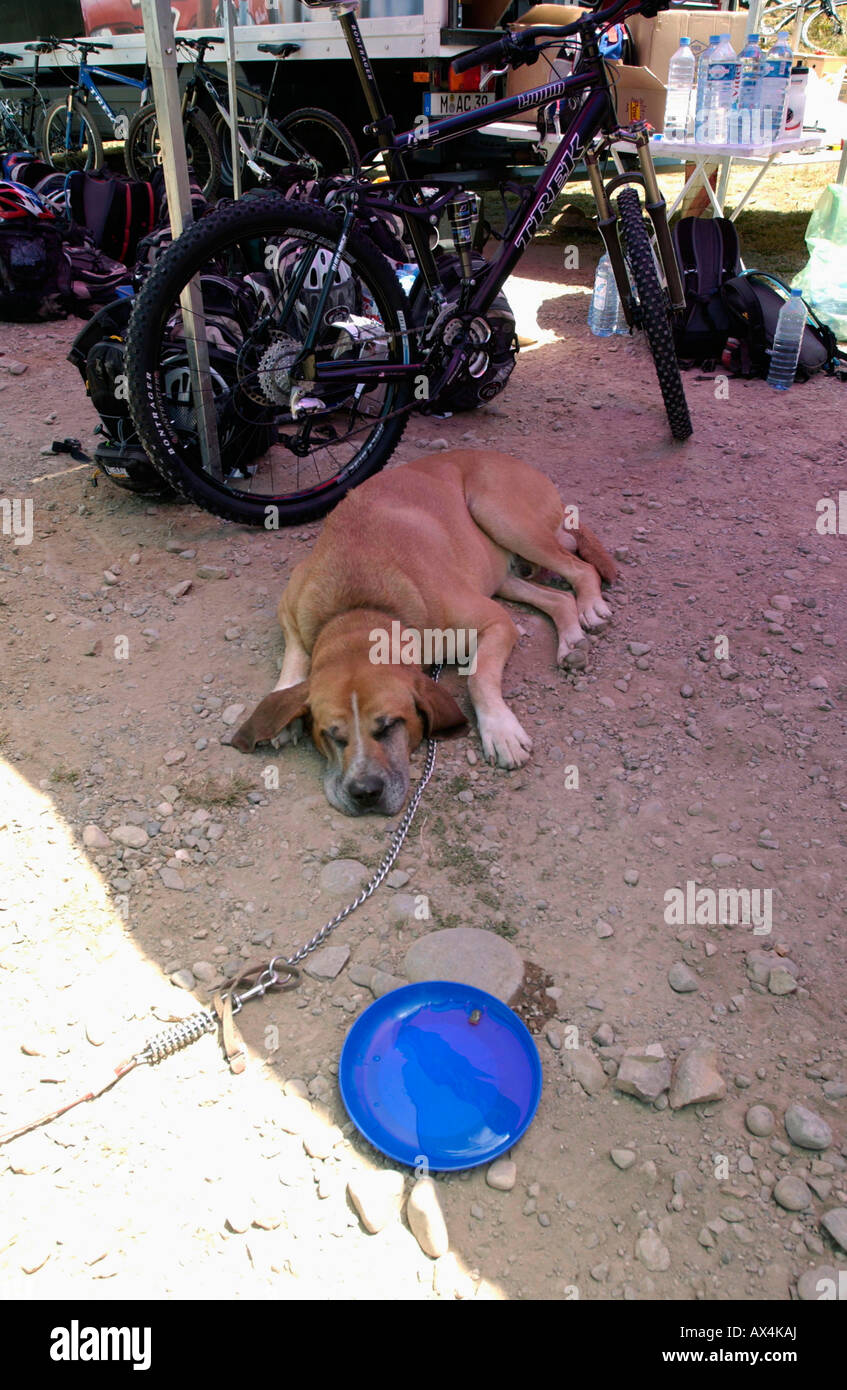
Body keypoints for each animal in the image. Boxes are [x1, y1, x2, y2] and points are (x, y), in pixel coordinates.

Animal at [230, 453, 614, 811]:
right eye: (330, 735)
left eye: (389, 726)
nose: (365, 793)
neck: (358, 607)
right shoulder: (290, 608)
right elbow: (293, 659)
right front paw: (285, 708)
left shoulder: (497, 622)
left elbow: (478, 678)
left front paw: (500, 731)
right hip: (502, 575)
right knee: (559, 597)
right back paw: (571, 641)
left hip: (500, 516)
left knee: (580, 569)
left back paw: (590, 606)